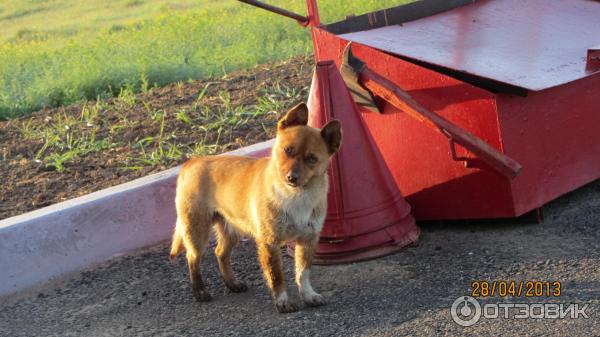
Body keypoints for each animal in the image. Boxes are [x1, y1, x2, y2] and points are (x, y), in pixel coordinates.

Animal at [169, 103, 342, 312]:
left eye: (312, 159)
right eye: (288, 150)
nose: (291, 177)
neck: (294, 195)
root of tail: (190, 162)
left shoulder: (308, 240)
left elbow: (303, 273)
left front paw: (308, 295)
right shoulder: (270, 243)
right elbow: (276, 276)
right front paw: (282, 301)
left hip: (231, 230)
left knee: (220, 253)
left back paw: (232, 284)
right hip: (197, 230)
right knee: (192, 259)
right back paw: (200, 292)